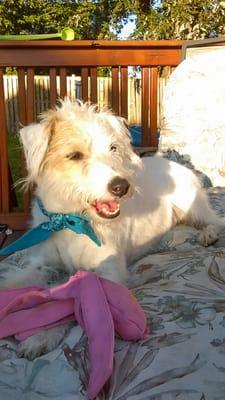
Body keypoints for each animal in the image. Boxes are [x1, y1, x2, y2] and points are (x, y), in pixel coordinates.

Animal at [1, 98, 223, 358]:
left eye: (113, 148)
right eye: (74, 155)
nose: (122, 186)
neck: (71, 221)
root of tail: (173, 161)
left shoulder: (108, 275)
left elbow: (70, 305)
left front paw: (41, 334)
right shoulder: (41, 264)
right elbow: (16, 282)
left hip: (193, 206)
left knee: (216, 220)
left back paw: (209, 234)